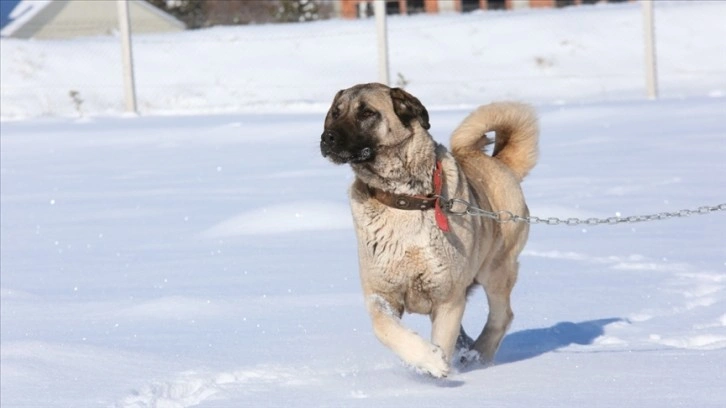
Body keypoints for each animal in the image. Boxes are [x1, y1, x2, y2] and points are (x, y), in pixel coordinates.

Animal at [320, 83, 540, 380]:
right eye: (335, 111)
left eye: (366, 113)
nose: (327, 137)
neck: (403, 199)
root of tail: (500, 163)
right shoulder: (381, 293)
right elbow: (384, 328)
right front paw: (428, 359)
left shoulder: (448, 299)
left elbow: (443, 337)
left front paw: (437, 365)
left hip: (496, 268)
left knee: (502, 315)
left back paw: (477, 355)